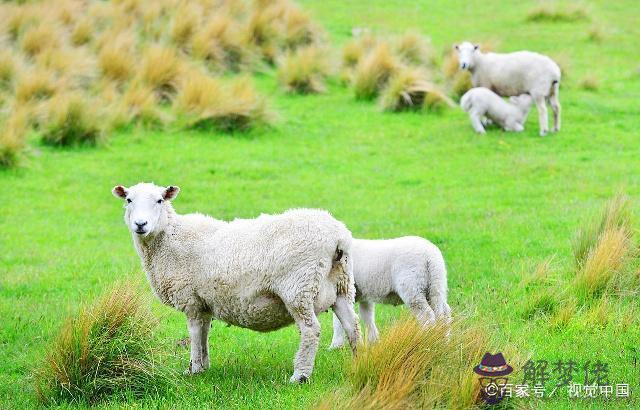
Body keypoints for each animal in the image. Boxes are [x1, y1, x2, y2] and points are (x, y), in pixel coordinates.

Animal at [110, 183, 360, 382]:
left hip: (299, 287)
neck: (169, 238)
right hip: (342, 286)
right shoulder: (204, 302)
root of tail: (339, 237)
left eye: (160, 200)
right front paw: (203, 366)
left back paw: (300, 376)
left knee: (311, 330)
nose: (140, 224)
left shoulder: (190, 299)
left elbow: (194, 333)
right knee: (353, 326)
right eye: (129, 200)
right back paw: (361, 362)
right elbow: (204, 333)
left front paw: (193, 369)